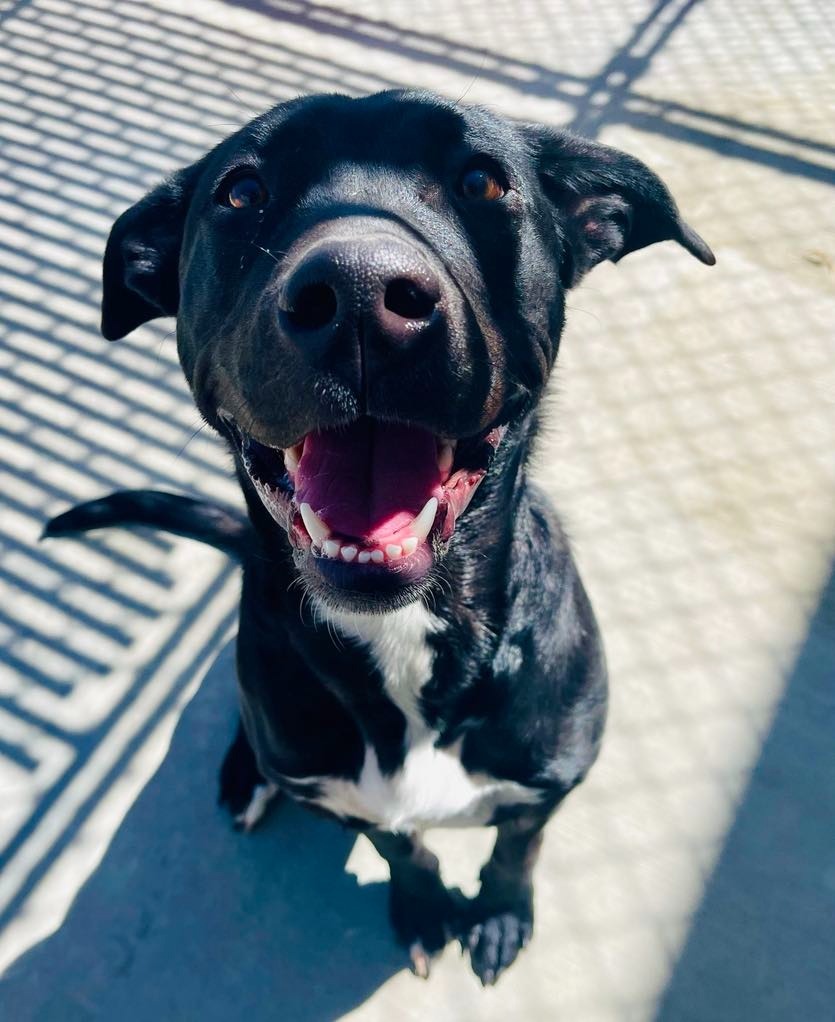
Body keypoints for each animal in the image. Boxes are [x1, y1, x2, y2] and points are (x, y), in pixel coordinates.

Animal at [45, 91, 711, 985]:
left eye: (481, 181)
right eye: (241, 193)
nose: (358, 293)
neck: (405, 636)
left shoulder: (550, 784)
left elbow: (516, 850)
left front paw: (499, 914)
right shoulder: (352, 803)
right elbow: (405, 850)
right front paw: (425, 908)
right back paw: (245, 774)